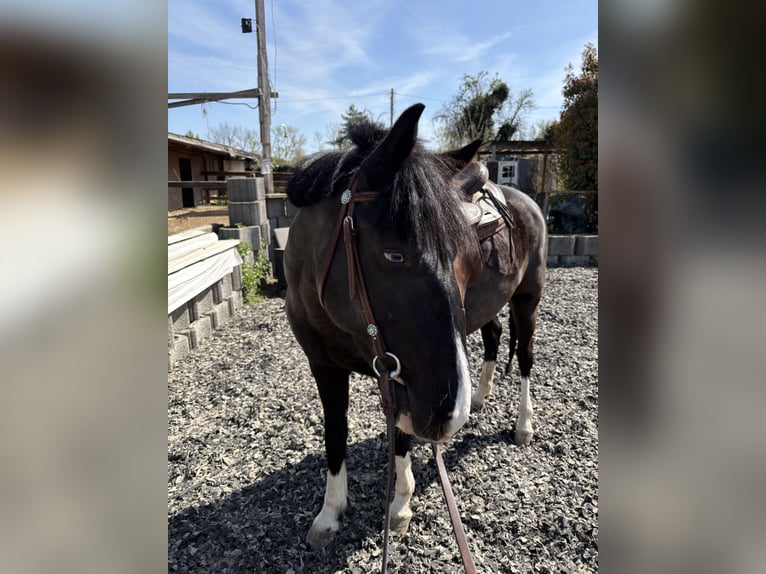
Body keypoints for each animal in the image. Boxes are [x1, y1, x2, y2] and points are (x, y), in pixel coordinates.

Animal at [284, 103, 547, 550]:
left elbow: (401, 435)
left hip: (527, 299)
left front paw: (400, 504)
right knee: (494, 337)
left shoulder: (395, 373)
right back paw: (481, 397)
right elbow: (335, 432)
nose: (451, 415)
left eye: (466, 257)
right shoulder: (323, 365)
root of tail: (525, 199)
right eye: (394, 255)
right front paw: (329, 514)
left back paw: (522, 425)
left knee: (526, 357)